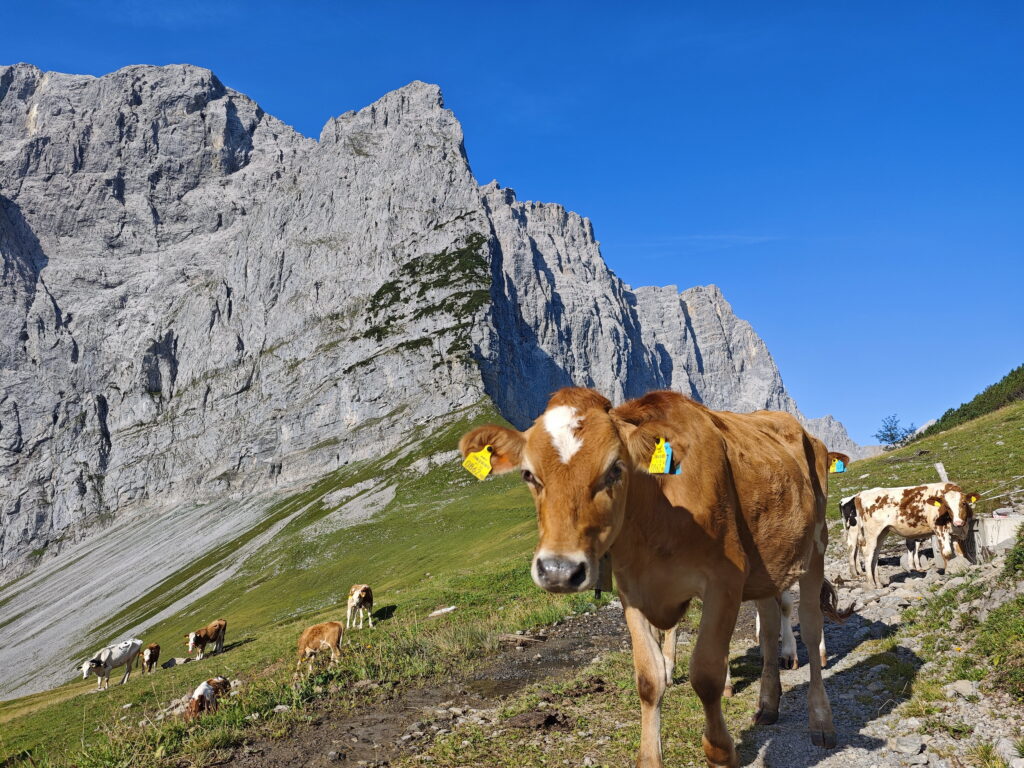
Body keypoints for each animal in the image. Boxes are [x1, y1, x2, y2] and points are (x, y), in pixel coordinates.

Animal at [458, 391, 847, 768]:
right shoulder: (632, 592)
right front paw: (650, 755)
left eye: (615, 469)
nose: (559, 571)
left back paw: (821, 720)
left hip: (816, 546)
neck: (657, 516)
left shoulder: (725, 580)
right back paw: (768, 704)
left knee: (810, 628)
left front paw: (720, 752)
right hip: (767, 563)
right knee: (767, 629)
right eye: (528, 474)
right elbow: (649, 678)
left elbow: (706, 674)